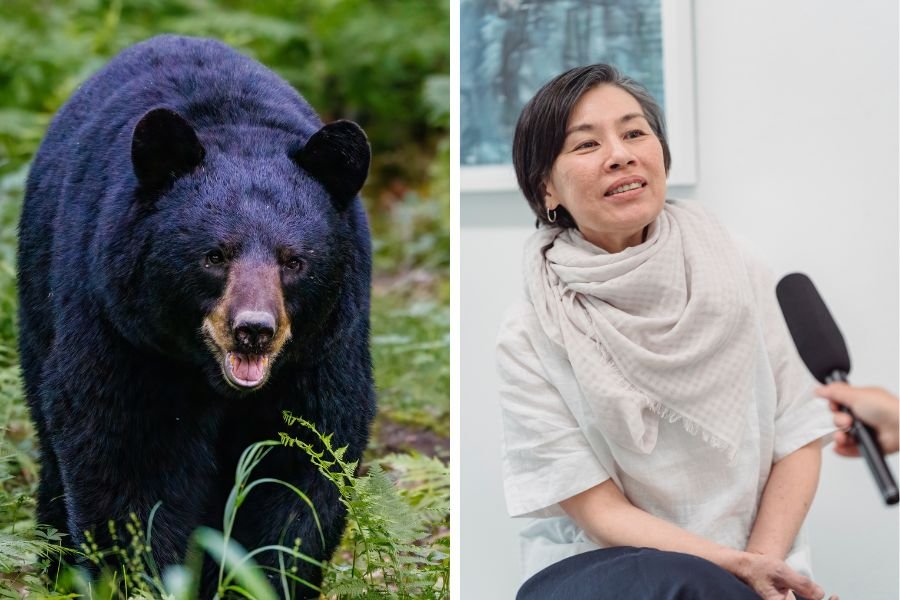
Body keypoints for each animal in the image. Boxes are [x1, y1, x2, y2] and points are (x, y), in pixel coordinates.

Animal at [17, 34, 374, 598]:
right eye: (215, 255)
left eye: (294, 261)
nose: (253, 330)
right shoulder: (123, 334)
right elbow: (129, 462)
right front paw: (143, 578)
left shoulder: (322, 351)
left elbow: (301, 469)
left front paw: (259, 579)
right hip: (38, 302)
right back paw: (60, 568)